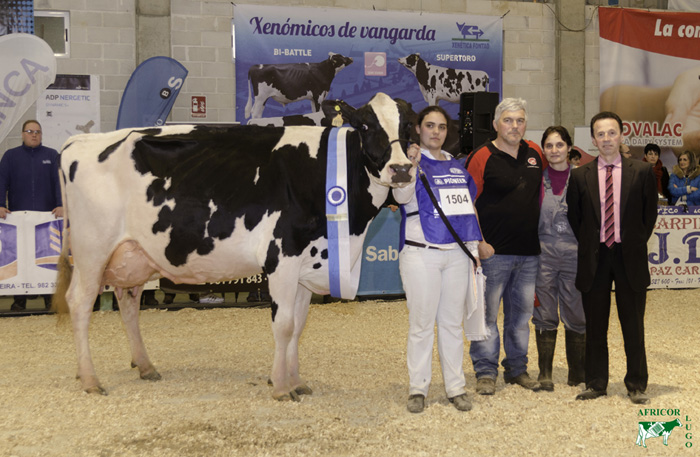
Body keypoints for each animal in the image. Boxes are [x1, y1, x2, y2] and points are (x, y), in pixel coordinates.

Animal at [57, 91, 416, 400]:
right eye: (366, 126)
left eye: (409, 126)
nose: (401, 169)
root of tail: (80, 142)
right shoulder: (281, 257)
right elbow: (284, 325)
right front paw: (281, 387)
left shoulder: (307, 263)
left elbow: (298, 326)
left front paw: (296, 381)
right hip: (92, 250)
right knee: (80, 302)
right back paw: (90, 379)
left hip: (132, 254)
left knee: (128, 301)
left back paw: (145, 366)